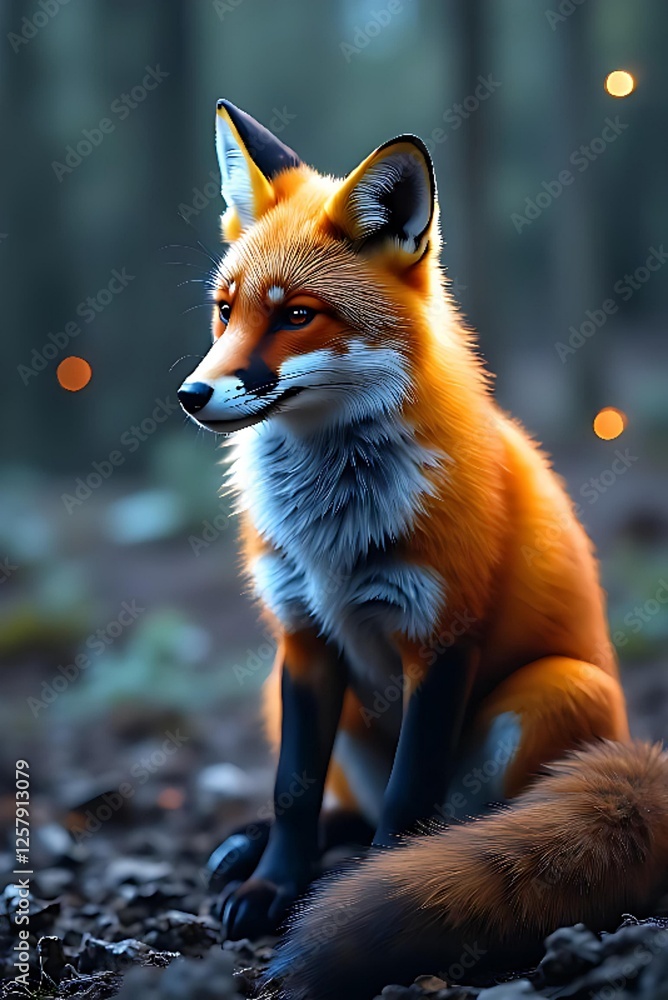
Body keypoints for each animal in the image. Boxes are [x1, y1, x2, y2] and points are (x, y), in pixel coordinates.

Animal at [177, 100, 668, 999]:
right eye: (226, 310)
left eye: (295, 314)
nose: (191, 395)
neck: (331, 533)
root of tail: (637, 755)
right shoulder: (302, 638)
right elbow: (293, 790)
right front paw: (274, 884)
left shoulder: (441, 639)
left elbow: (409, 805)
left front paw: (362, 891)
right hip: (294, 691)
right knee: (345, 808)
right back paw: (250, 849)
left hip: (558, 689)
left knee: (459, 823)